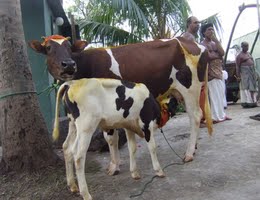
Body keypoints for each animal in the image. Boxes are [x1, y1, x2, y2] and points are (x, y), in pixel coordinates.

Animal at [28, 35, 212, 164]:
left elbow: (110, 135)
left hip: (190, 87)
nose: (68, 64)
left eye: (69, 47)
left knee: (195, 115)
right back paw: (194, 147)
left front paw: (114, 165)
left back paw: (189, 153)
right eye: (48, 48)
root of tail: (196, 44)